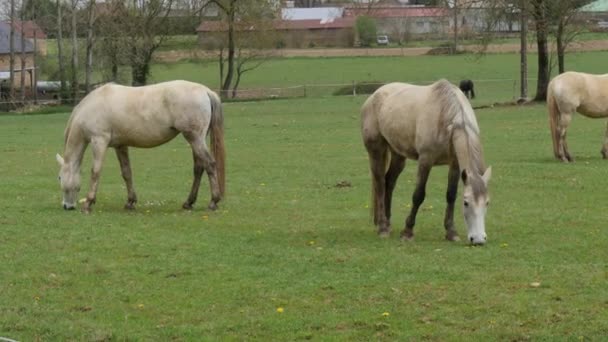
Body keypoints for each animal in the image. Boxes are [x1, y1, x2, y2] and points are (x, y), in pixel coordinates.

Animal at [54, 81, 226, 212]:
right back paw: (189, 202)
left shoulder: (99, 141)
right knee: (199, 168)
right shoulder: (120, 146)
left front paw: (89, 202)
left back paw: (213, 201)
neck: (92, 107)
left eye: (59, 177)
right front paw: (130, 202)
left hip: (195, 138)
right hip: (196, 139)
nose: (67, 206)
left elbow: (95, 172)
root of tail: (205, 91)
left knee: (210, 164)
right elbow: (126, 173)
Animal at [360, 79, 494, 244]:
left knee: (389, 182)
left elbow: (451, 195)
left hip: (398, 155)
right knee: (379, 183)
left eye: (487, 202)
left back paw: (388, 223)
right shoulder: (425, 161)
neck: (447, 118)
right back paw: (383, 227)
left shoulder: (455, 165)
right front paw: (407, 232)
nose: (478, 239)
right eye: (466, 202)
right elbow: (418, 195)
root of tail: (374, 96)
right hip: (376, 151)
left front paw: (451, 232)